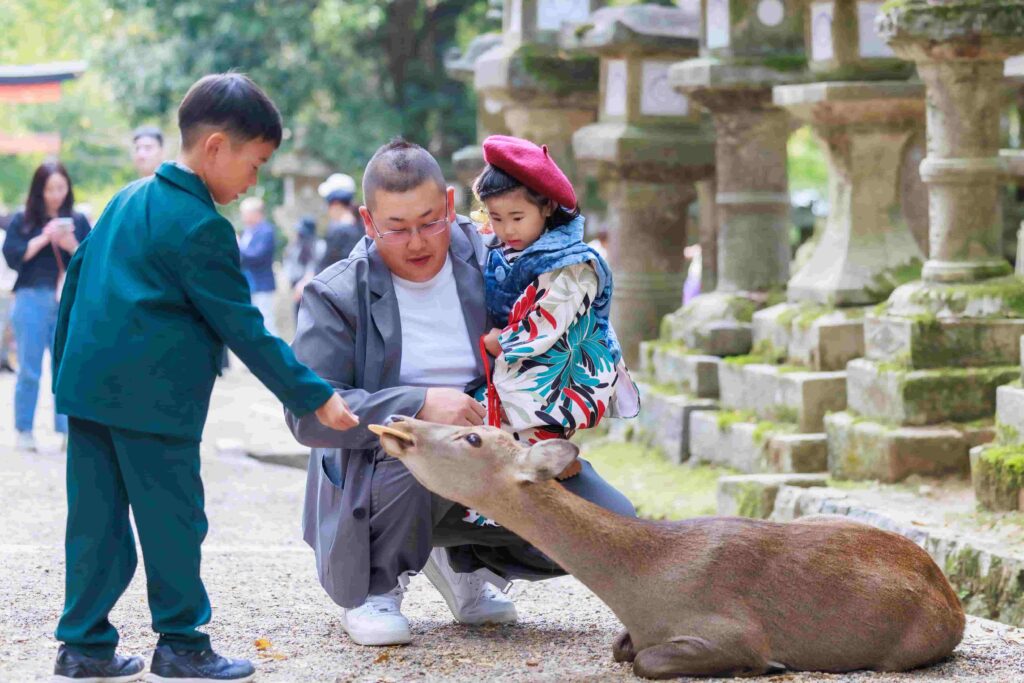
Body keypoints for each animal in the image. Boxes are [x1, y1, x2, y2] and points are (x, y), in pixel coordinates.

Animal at [372, 417, 962, 679]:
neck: (645, 583)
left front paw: (770, 665)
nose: (400, 420)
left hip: (912, 642)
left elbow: (648, 661)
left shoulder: (732, 629)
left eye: (471, 436)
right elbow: (623, 648)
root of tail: (952, 598)